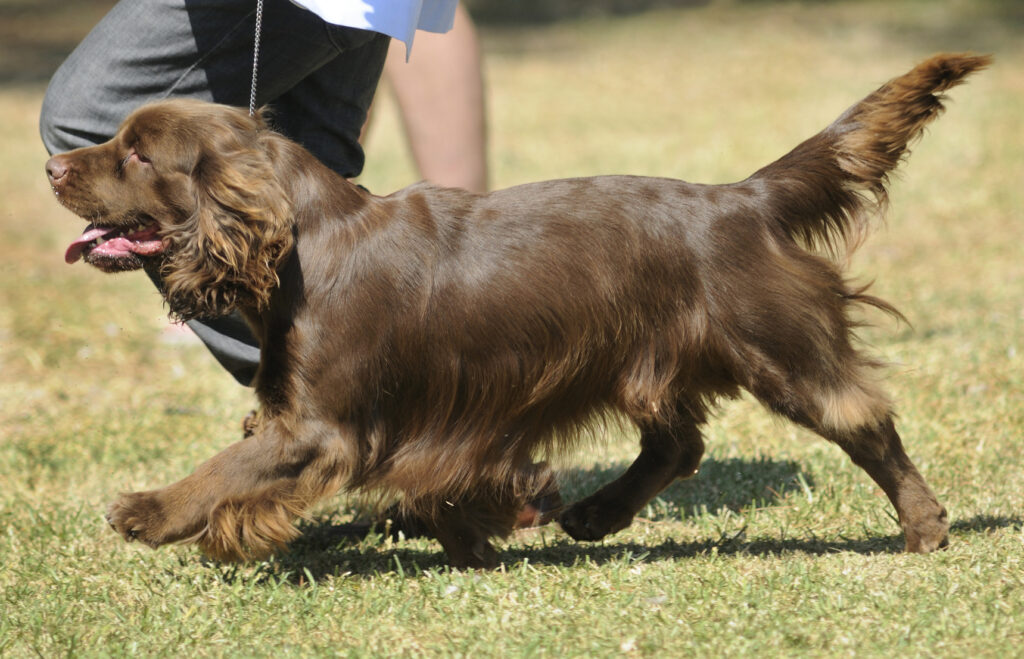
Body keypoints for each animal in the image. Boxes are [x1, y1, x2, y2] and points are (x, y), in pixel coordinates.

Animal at [44, 52, 987, 564]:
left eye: (136, 154)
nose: (52, 168)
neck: (305, 244)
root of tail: (744, 197)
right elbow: (435, 486)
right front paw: (475, 541)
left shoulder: (320, 427)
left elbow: (227, 468)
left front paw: (148, 510)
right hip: (647, 358)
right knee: (678, 442)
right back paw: (595, 512)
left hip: (778, 344)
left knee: (863, 419)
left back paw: (924, 527)